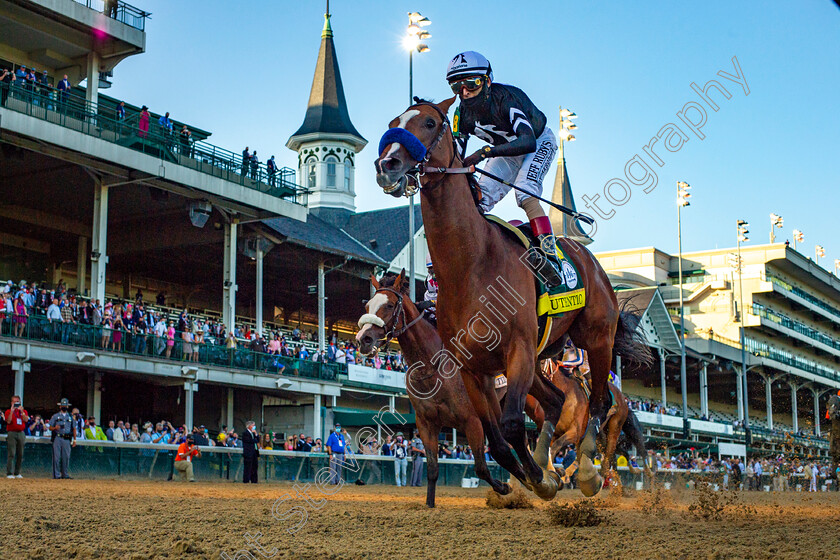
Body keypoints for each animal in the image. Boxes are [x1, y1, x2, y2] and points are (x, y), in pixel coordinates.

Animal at [374, 97, 648, 498]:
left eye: (428, 122)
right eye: (393, 121)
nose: (387, 164)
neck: (472, 265)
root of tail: (587, 257)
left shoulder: (518, 349)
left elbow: (513, 425)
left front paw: (541, 478)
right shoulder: (473, 369)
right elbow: (498, 441)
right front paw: (535, 478)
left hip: (596, 338)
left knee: (598, 403)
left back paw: (586, 471)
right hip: (542, 358)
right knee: (556, 403)